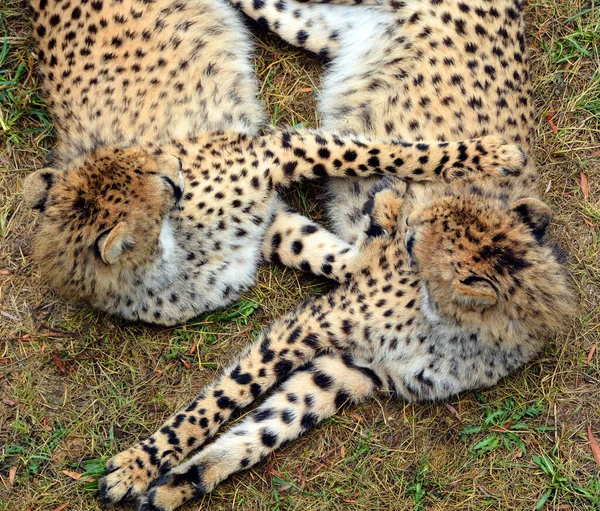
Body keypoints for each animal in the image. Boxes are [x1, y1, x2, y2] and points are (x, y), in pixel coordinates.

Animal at [23, 0, 520, 324]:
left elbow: (377, 152)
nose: (174, 163)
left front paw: (491, 155)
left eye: (141, 159)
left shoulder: (270, 151)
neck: (170, 255)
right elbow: (323, 255)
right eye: (151, 175)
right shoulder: (265, 224)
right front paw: (379, 255)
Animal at [97, 0, 572, 508]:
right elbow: (230, 395)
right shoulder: (313, 322)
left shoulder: (352, 371)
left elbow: (268, 428)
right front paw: (140, 463)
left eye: (425, 234)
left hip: (321, 28)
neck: (448, 326)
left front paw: (184, 481)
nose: (395, 209)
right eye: (425, 221)